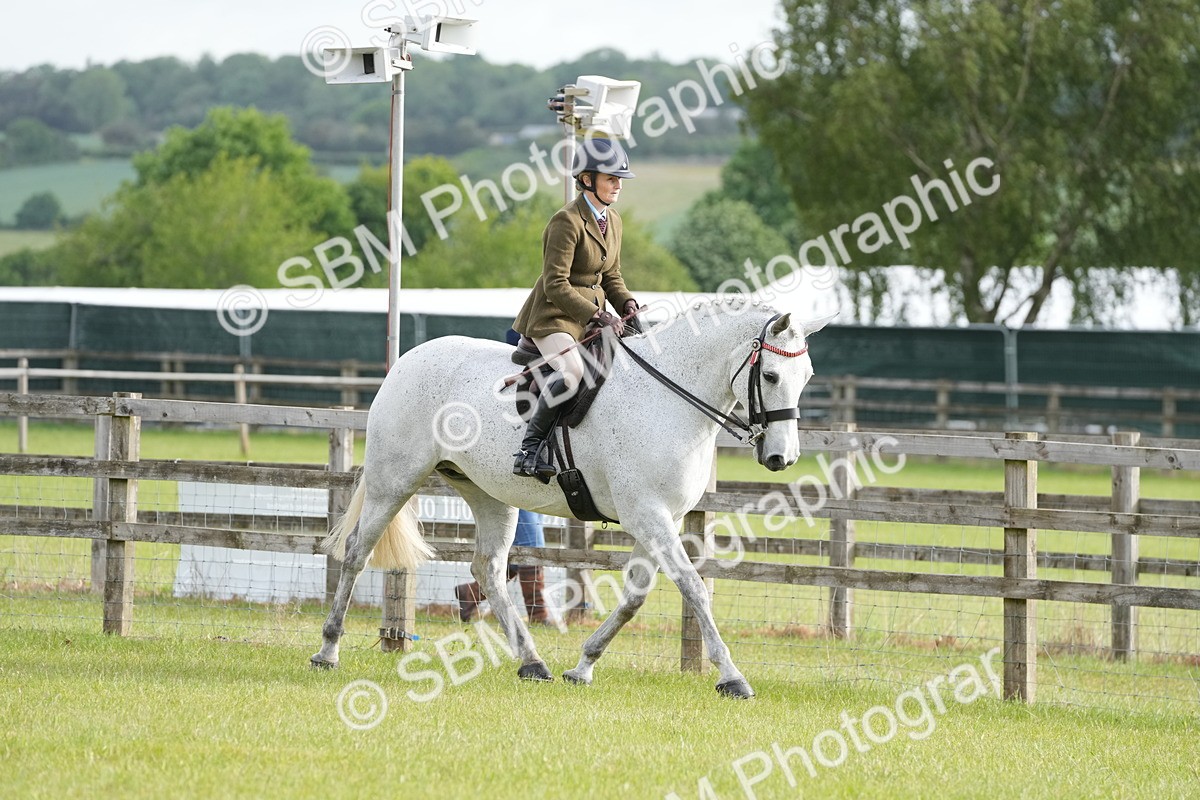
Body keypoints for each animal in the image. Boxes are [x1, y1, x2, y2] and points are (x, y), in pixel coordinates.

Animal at [311, 299, 832, 698]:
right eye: (770, 375)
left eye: (807, 375)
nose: (783, 457)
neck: (670, 399)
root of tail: (407, 359)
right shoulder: (649, 516)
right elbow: (693, 589)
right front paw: (732, 676)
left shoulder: (659, 519)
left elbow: (633, 598)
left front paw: (583, 666)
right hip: (394, 480)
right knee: (356, 553)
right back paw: (327, 651)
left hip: (487, 493)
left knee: (488, 569)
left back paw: (532, 663)